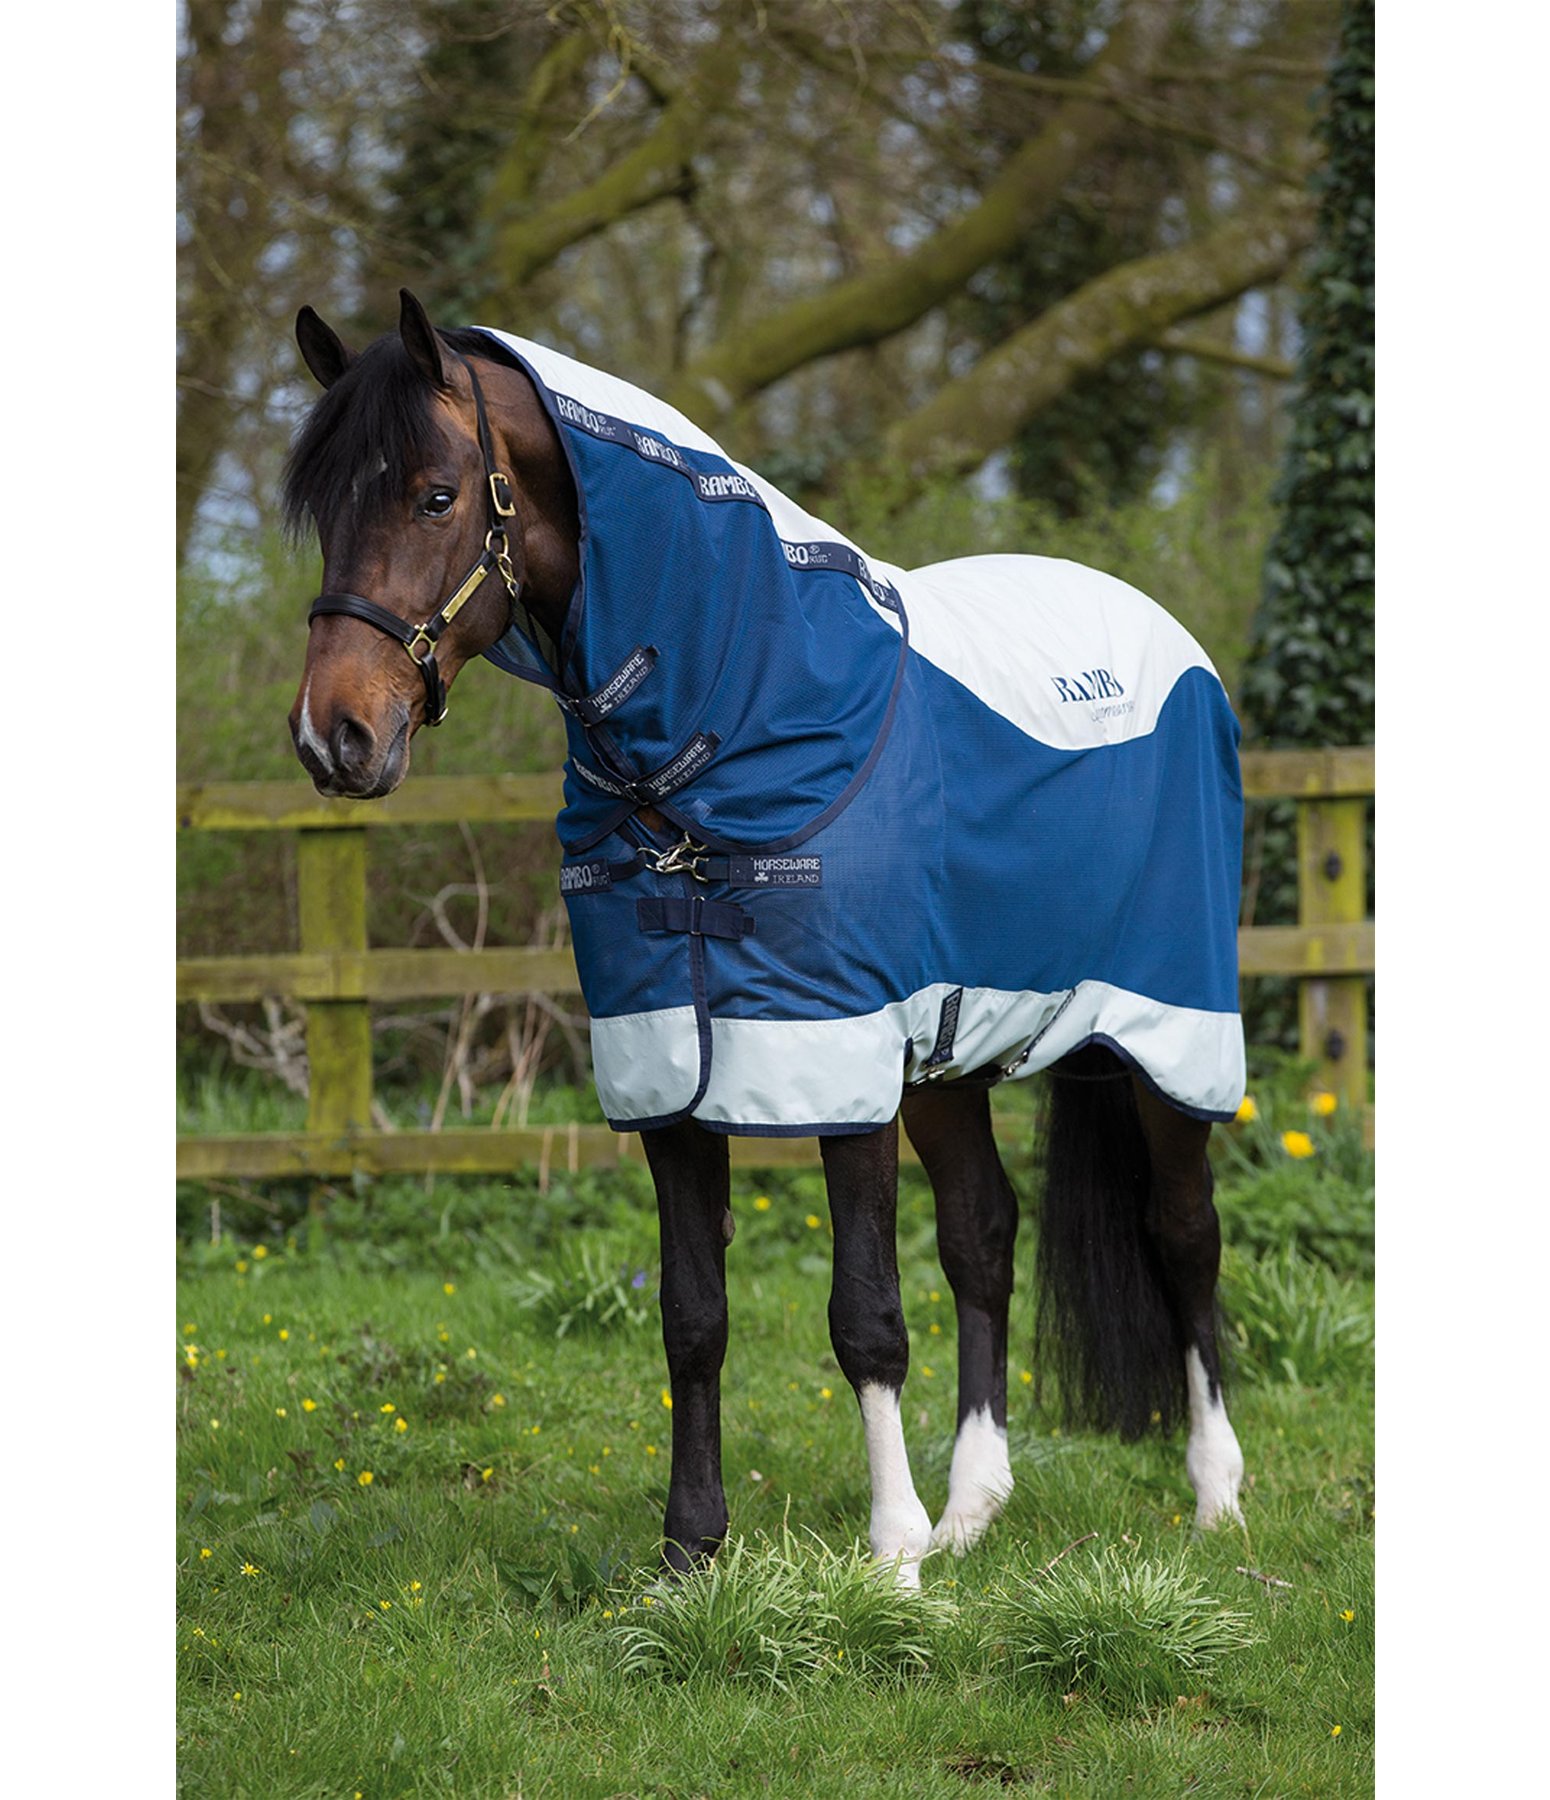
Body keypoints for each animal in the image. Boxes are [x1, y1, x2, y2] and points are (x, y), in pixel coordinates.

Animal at [283, 289, 1246, 1584]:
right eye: (324, 510)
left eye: (435, 496)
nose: (331, 736)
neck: (727, 733)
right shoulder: (666, 1067)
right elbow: (693, 1314)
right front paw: (692, 1551)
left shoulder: (837, 1058)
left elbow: (865, 1317)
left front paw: (890, 1560)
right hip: (951, 1052)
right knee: (983, 1237)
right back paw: (972, 1509)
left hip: (1164, 1026)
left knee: (1182, 1235)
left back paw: (1212, 1500)